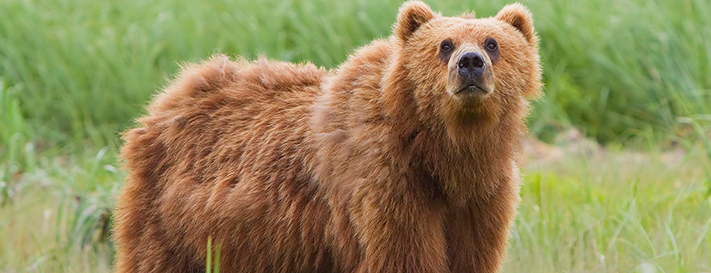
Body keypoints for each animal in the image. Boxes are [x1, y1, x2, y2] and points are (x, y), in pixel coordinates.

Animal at [114, 1, 544, 270]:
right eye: (445, 44)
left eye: (493, 43)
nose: (470, 63)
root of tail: (171, 94)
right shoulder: (387, 186)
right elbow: (404, 255)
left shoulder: (482, 198)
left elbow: (472, 254)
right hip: (173, 220)